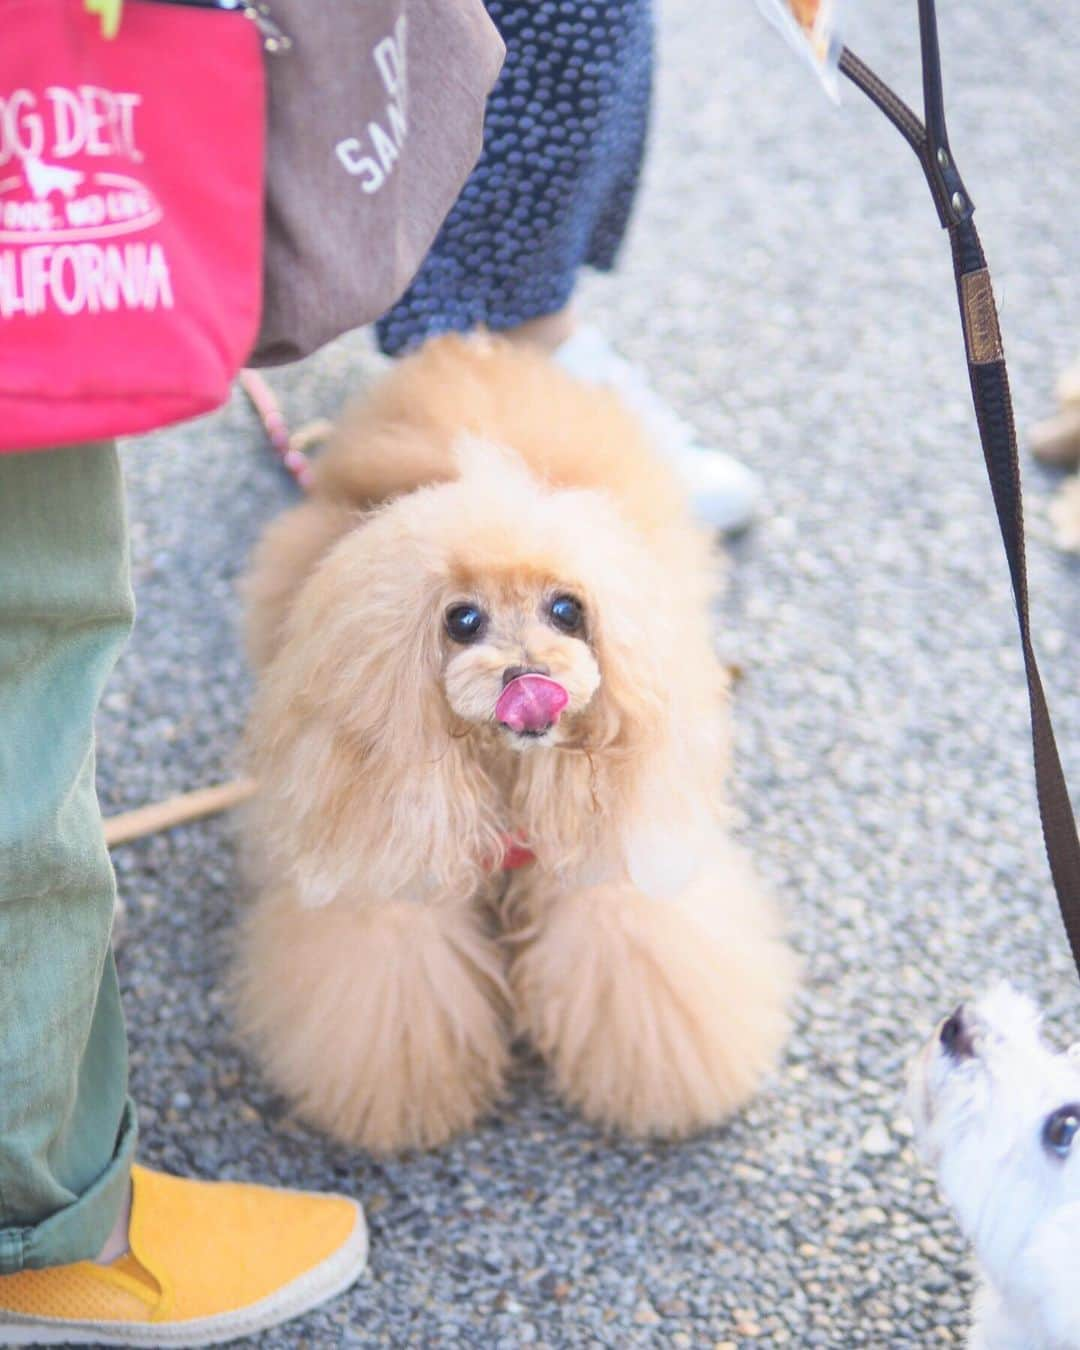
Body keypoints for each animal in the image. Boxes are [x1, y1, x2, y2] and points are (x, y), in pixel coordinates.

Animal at [233, 334, 793, 1150]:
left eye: (567, 610)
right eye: (462, 620)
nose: (529, 676)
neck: (505, 772)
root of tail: (476, 349)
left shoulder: (607, 862)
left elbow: (633, 953)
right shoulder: (394, 861)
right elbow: (392, 979)